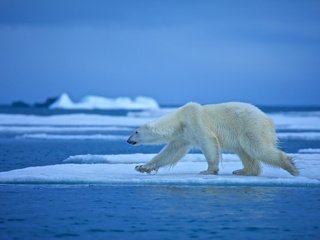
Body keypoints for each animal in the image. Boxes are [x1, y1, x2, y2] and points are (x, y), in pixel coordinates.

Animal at [126, 101, 298, 176]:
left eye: (136, 131)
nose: (127, 140)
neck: (179, 120)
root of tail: (268, 119)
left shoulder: (195, 122)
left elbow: (208, 143)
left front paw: (208, 170)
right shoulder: (183, 136)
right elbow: (170, 153)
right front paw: (142, 167)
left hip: (250, 127)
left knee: (258, 149)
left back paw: (291, 167)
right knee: (244, 152)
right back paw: (242, 171)